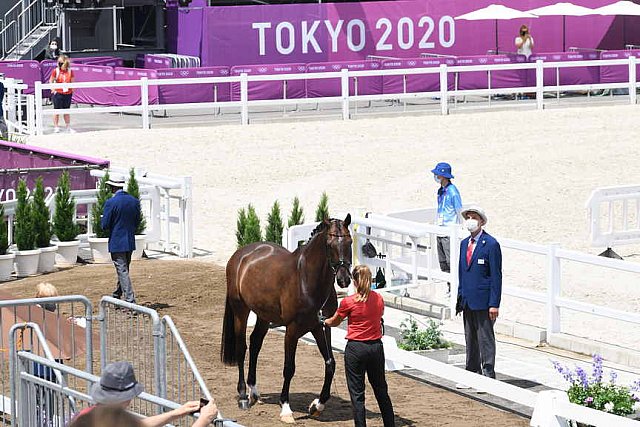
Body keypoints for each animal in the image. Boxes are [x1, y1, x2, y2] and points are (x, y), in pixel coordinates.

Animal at [221, 216, 352, 422]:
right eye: (330, 244)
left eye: (350, 242)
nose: (344, 279)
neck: (307, 280)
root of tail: (241, 254)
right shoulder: (292, 330)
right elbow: (289, 368)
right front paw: (286, 408)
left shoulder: (321, 327)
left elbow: (330, 364)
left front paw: (317, 406)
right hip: (241, 310)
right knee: (242, 347)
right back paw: (243, 396)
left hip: (263, 315)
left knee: (255, 343)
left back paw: (254, 391)